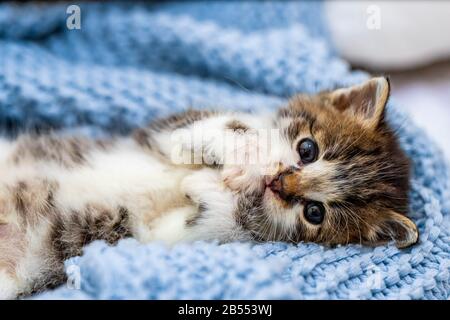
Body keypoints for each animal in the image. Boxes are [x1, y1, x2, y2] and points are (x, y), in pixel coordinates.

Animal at [0, 76, 418, 298]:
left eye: (315, 212)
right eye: (307, 149)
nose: (278, 182)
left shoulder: (149, 236)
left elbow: (211, 223)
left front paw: (211, 188)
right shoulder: (158, 133)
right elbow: (209, 125)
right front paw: (247, 151)